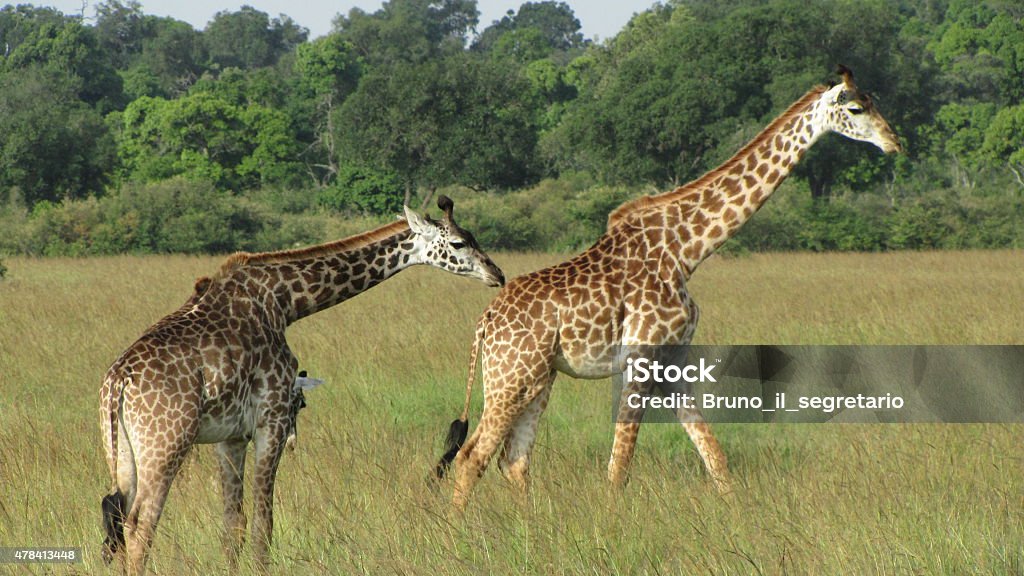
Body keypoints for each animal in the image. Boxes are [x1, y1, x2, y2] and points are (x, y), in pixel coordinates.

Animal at [97, 194, 505, 569]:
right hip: (166, 445)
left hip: (122, 454)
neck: (284, 302)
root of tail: (117, 385)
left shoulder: (229, 436)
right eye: (459, 243)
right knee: (139, 526)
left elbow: (233, 524)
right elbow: (264, 524)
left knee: (120, 523)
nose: (497, 275)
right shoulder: (272, 420)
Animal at [436, 65, 901, 508]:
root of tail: (485, 322)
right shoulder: (641, 356)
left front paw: (738, 517)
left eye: (875, 100)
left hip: (538, 376)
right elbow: (620, 464)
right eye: (856, 108)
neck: (686, 250)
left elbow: (713, 454)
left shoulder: (672, 357)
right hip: (511, 375)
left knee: (513, 460)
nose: (894, 142)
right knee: (472, 456)